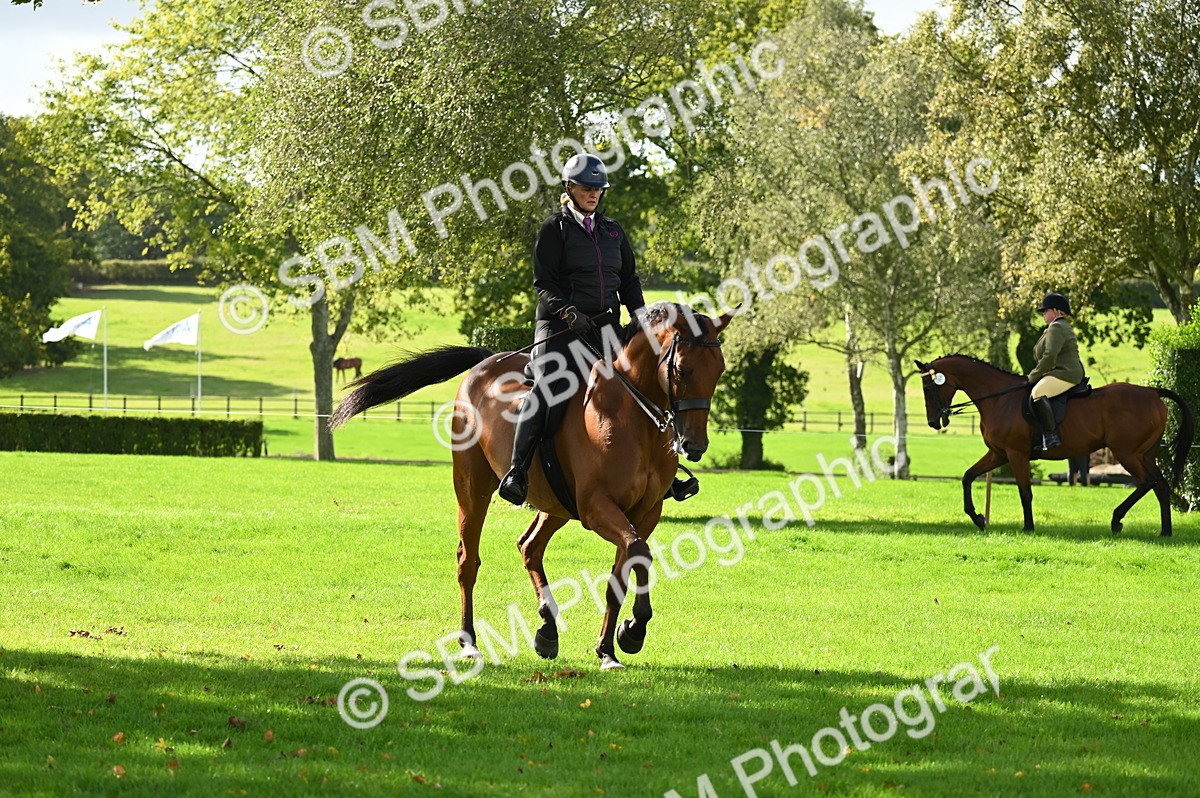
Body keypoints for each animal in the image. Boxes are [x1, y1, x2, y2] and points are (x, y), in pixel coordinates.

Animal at [330, 302, 733, 668]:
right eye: (681, 369)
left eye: (720, 370)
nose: (694, 446)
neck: (632, 417)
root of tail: (487, 364)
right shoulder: (597, 507)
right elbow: (638, 552)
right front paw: (633, 630)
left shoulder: (644, 512)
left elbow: (625, 568)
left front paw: (611, 646)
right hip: (473, 490)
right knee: (468, 561)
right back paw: (470, 642)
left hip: (555, 504)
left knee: (529, 547)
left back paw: (547, 630)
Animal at [915, 355, 1194, 536]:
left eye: (929, 387)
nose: (933, 422)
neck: (999, 398)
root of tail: (1153, 392)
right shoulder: (998, 454)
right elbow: (967, 477)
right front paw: (979, 519)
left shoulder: (1016, 454)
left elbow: (1025, 491)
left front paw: (1028, 528)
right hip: (1145, 454)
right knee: (1161, 486)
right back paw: (1165, 532)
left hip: (1127, 453)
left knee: (1147, 482)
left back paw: (1117, 520)